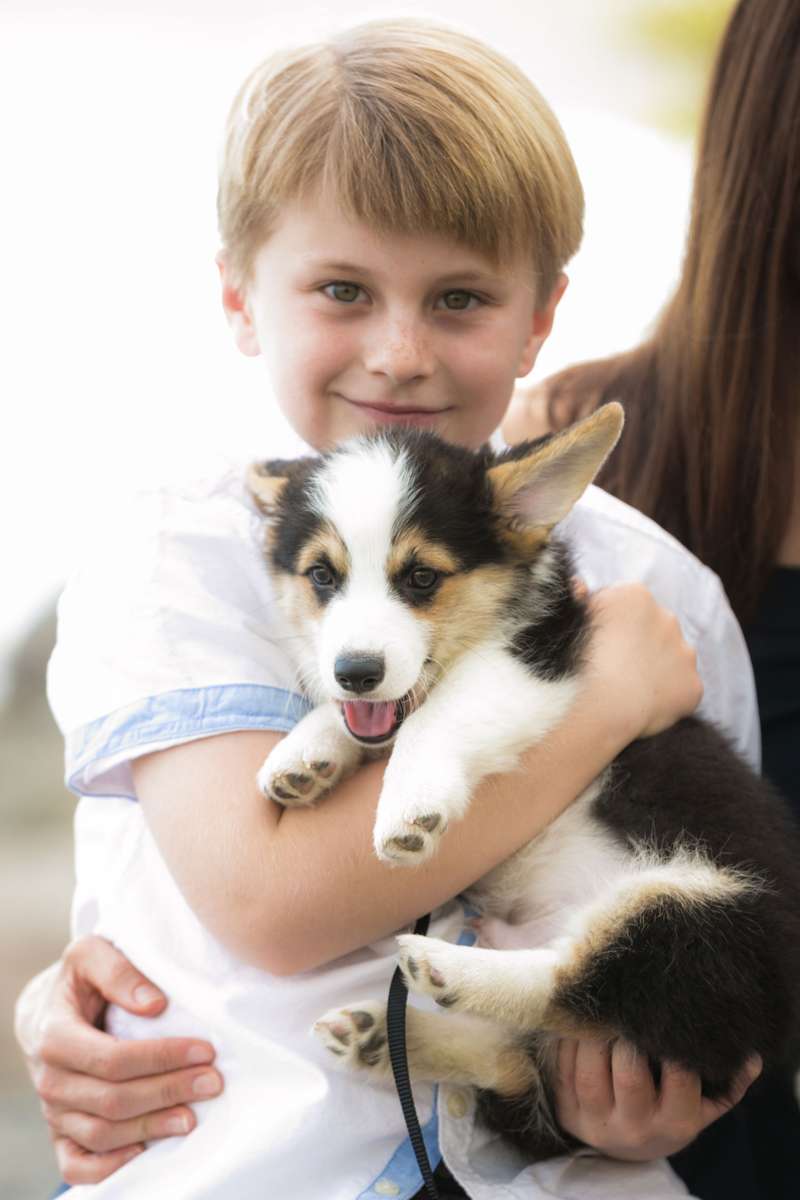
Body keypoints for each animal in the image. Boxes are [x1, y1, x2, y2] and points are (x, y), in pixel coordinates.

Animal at [248, 405, 800, 1161]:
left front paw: (408, 808)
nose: (357, 671)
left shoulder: (536, 663)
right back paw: (383, 1039)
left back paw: (446, 970)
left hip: (712, 918)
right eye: (322, 577)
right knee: (520, 1060)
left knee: (587, 980)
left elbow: (437, 718)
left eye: (421, 578)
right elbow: (363, 723)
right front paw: (305, 756)